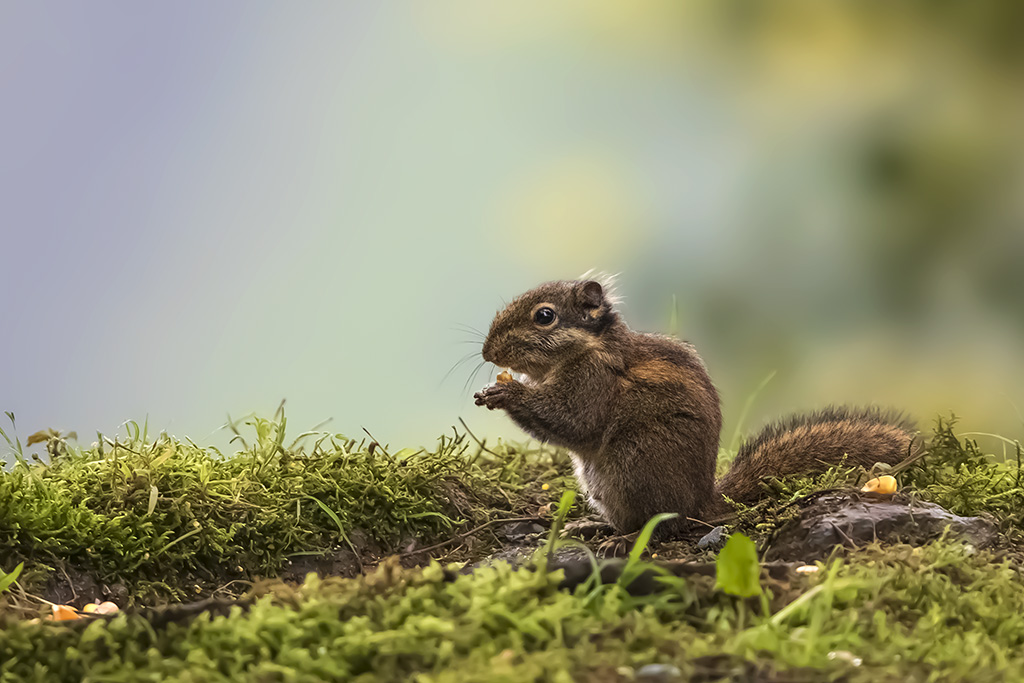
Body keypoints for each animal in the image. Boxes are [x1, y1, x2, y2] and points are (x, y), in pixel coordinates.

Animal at [473, 278, 921, 540]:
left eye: (545, 316)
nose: (487, 352)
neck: (590, 347)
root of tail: (704, 501)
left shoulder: (593, 382)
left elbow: (572, 421)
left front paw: (508, 394)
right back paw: (592, 524)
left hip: (633, 466)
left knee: (661, 525)